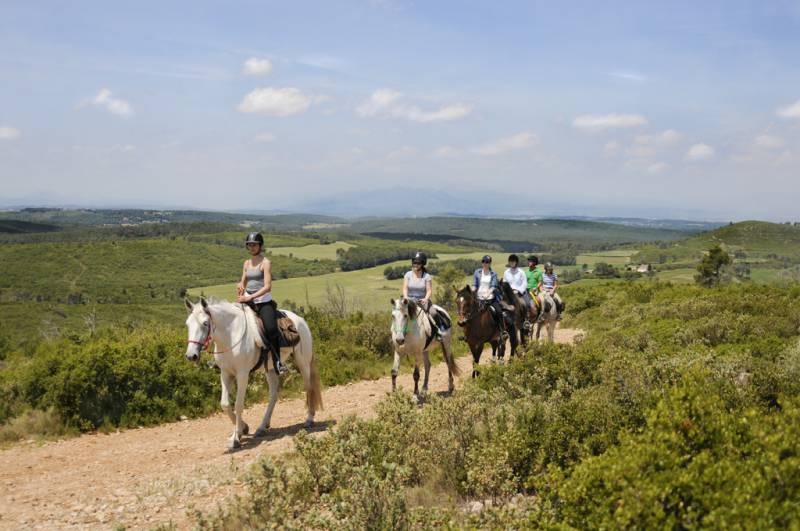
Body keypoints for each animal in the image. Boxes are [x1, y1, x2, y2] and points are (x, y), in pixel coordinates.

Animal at [186, 298, 324, 450]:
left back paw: (309, 419)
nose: (191, 356)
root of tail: (300, 320)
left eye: (205, 323)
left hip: (303, 363)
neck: (231, 336)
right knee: (273, 396)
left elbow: (238, 405)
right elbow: (225, 404)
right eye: (188, 324)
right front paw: (243, 429)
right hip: (271, 369)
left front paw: (235, 439)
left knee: (309, 388)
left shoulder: (242, 374)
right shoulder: (225, 373)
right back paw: (262, 427)